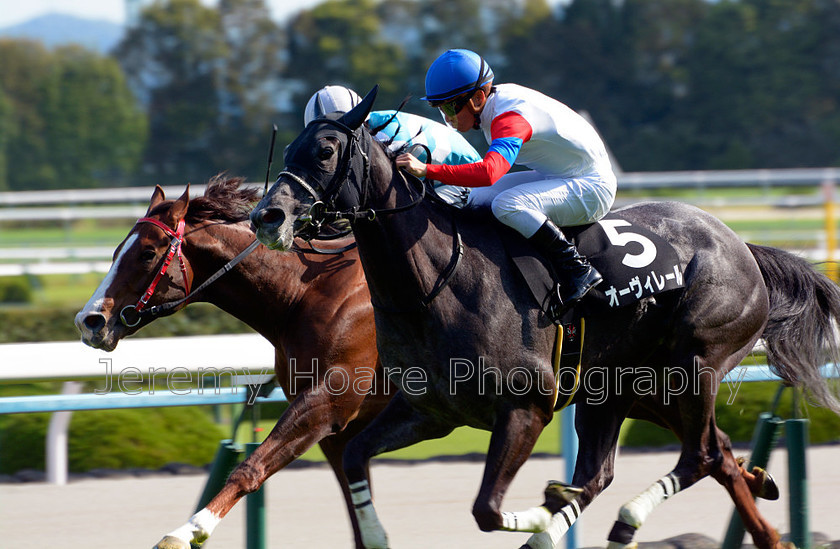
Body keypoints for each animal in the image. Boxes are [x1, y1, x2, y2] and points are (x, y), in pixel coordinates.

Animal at [74, 178, 388, 544]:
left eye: (147, 253)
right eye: (116, 252)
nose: (89, 321)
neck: (303, 294)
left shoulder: (330, 401)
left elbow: (250, 467)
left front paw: (188, 530)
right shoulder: (339, 429)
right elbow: (359, 514)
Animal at [249, 86, 840, 548]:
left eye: (326, 150)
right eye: (290, 148)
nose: (266, 215)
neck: (434, 282)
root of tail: (742, 245)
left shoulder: (526, 407)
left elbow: (487, 509)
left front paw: (544, 509)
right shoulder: (428, 409)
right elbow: (354, 459)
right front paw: (375, 537)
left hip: (692, 366)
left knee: (697, 456)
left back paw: (624, 520)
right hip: (618, 385)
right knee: (648, 464)